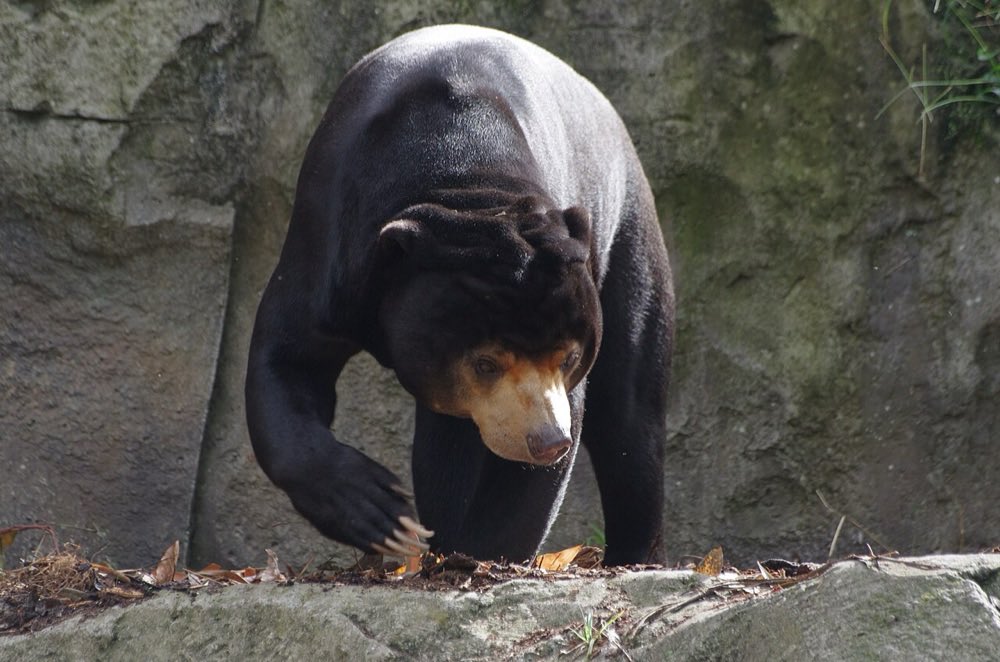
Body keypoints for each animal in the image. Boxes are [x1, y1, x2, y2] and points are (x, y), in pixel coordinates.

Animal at [246, 25, 674, 566]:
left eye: (568, 356)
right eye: (485, 363)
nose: (547, 442)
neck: (465, 182)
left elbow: (554, 443)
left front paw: (479, 553)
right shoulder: (330, 240)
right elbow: (288, 358)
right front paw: (382, 513)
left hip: (625, 231)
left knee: (630, 411)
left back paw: (633, 555)